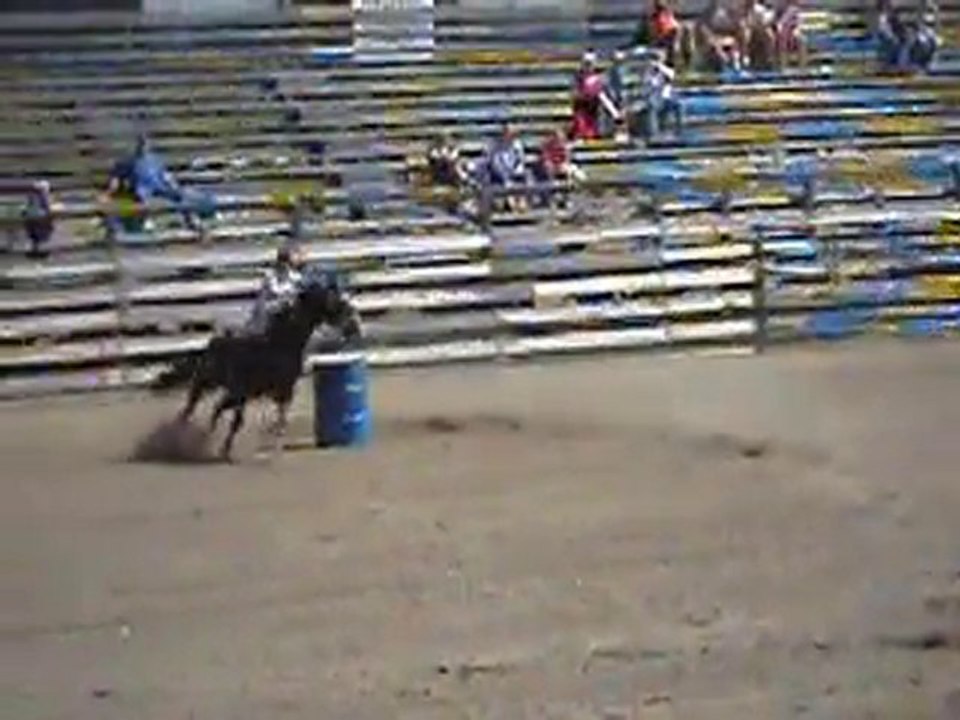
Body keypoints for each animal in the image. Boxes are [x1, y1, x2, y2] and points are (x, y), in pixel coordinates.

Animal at [150, 274, 362, 460]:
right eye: (336, 302)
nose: (355, 326)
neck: (280, 345)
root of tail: (213, 342)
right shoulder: (259, 392)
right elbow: (255, 421)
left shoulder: (280, 391)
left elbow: (278, 421)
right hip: (209, 384)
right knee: (191, 409)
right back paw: (184, 437)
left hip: (231, 393)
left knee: (216, 409)